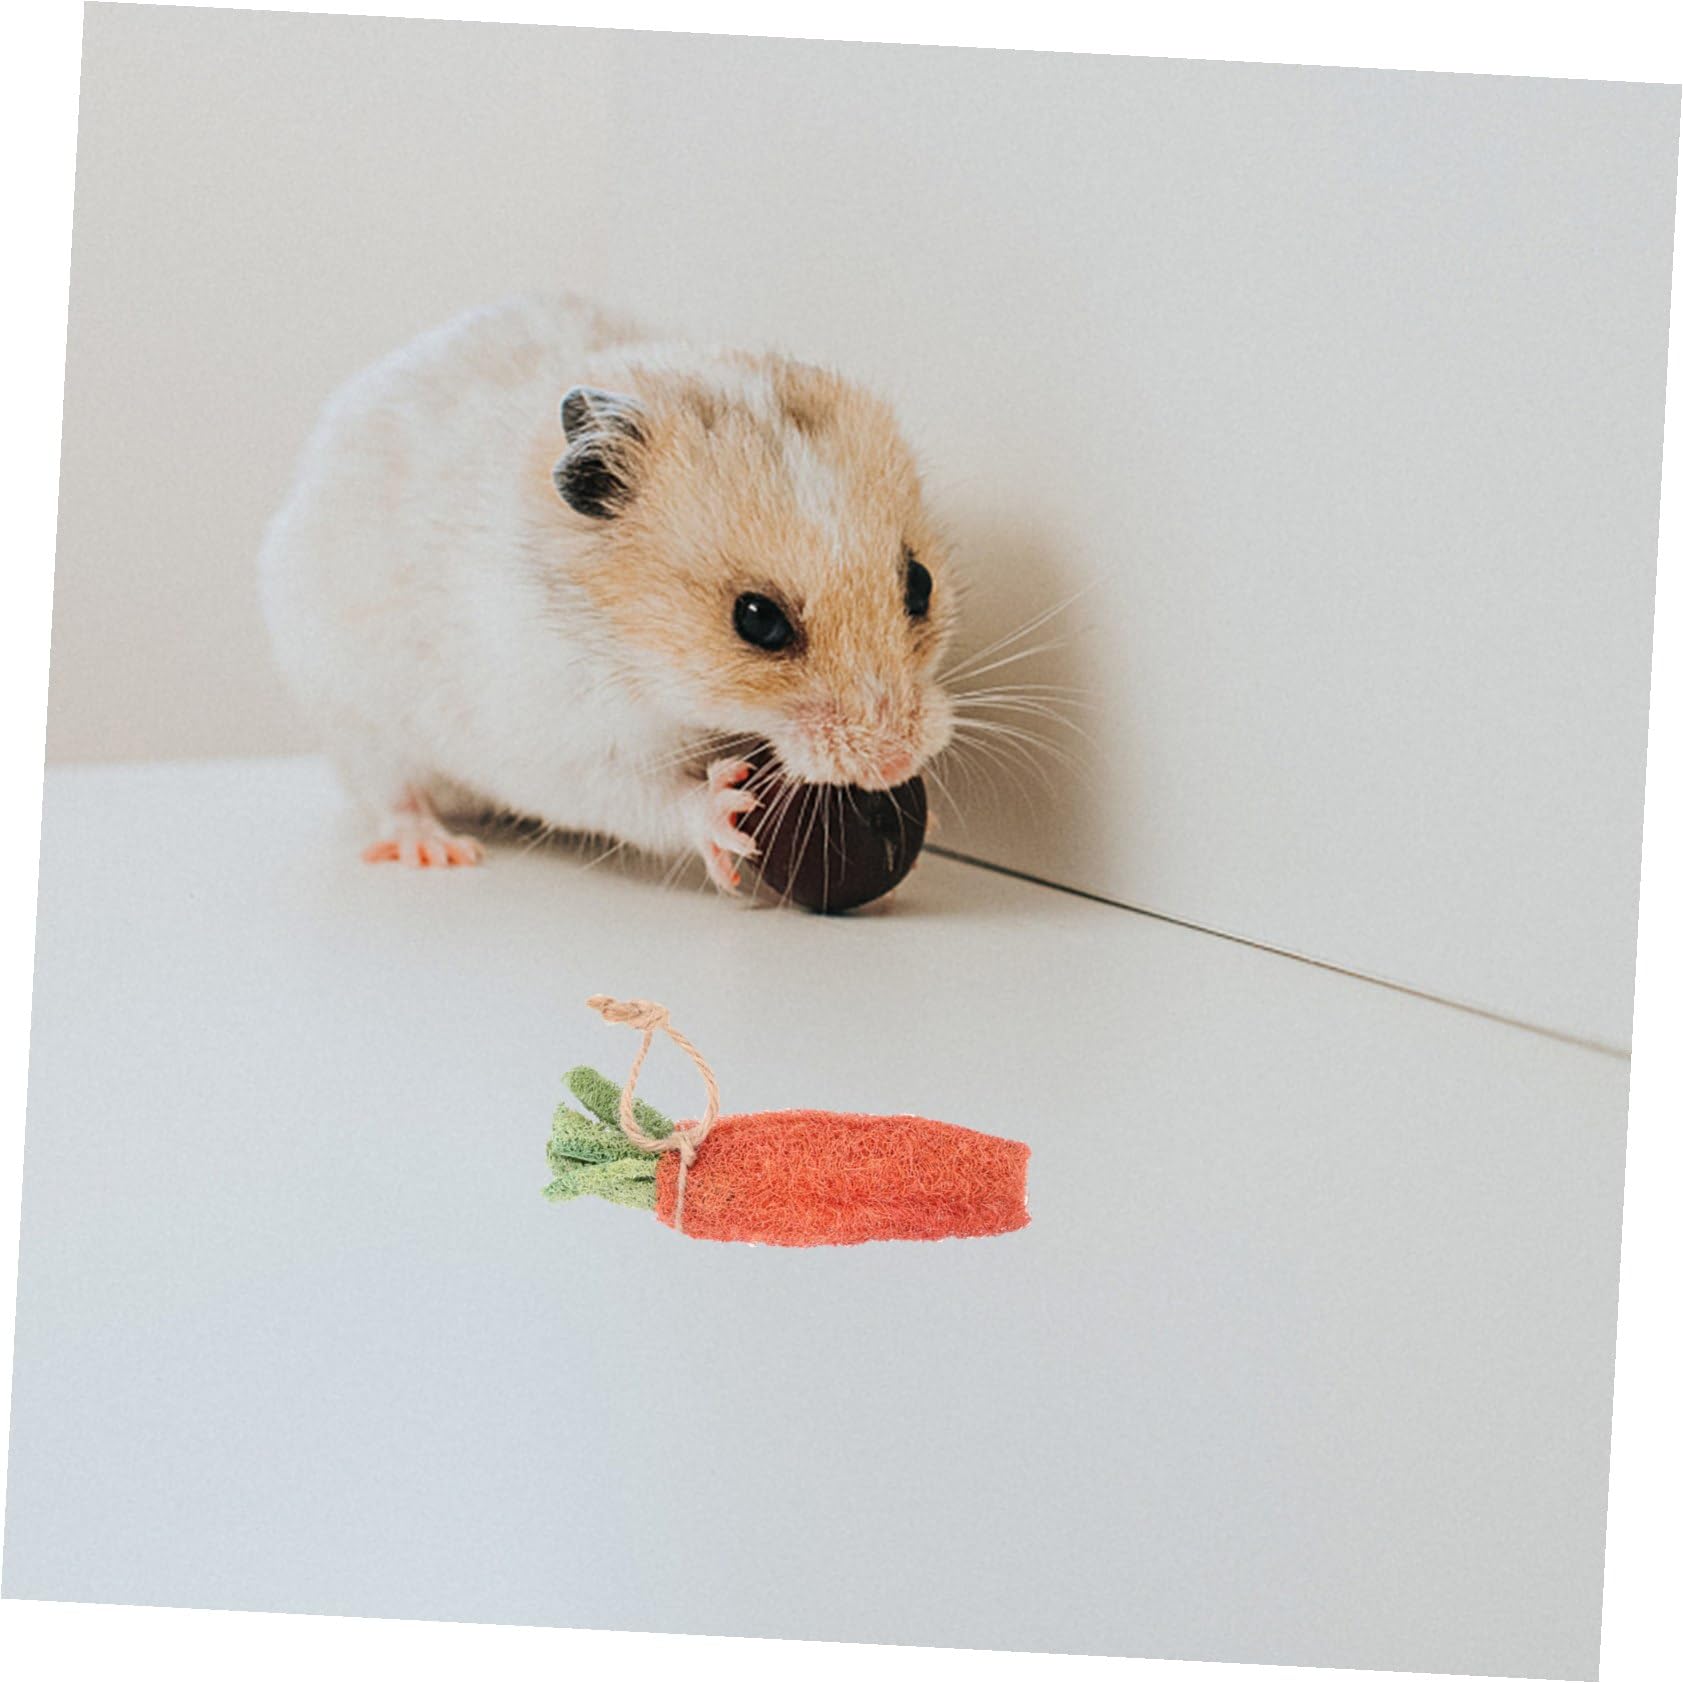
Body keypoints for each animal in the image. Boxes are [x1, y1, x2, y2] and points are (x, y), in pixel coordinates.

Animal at [258, 295, 958, 889]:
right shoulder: (561, 745)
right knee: (389, 792)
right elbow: (639, 798)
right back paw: (436, 850)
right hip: (354, 714)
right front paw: (726, 813)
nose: (894, 764)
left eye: (920, 584)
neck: (637, 654)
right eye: (757, 619)